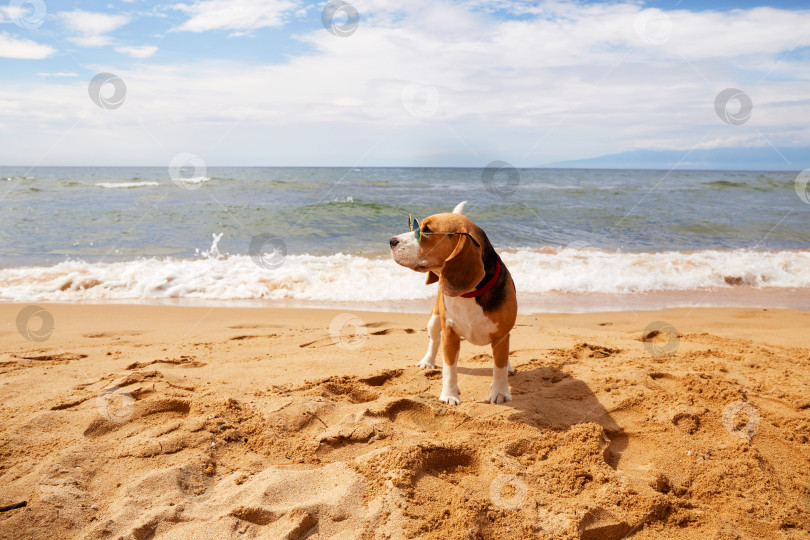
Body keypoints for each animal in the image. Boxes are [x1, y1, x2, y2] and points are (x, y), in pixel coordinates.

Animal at [388, 204, 516, 404]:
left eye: (426, 231)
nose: (391, 241)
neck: (469, 294)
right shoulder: (450, 335)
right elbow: (449, 368)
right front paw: (449, 395)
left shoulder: (501, 335)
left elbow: (500, 367)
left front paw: (500, 393)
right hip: (434, 320)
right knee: (434, 341)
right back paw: (427, 362)